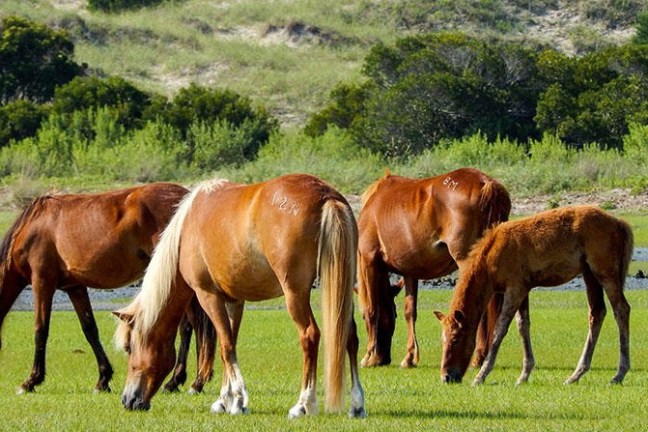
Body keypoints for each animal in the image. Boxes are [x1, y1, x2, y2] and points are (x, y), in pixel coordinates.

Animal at [0, 184, 215, 394]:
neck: (32, 227)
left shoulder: (42, 282)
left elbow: (41, 329)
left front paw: (31, 381)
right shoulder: (75, 287)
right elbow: (90, 329)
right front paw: (103, 379)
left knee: (190, 326)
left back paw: (191, 383)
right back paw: (180, 382)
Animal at [114, 173, 368, 418]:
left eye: (130, 348)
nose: (128, 400)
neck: (187, 229)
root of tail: (326, 195)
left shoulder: (208, 296)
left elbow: (226, 346)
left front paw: (237, 400)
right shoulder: (234, 301)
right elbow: (229, 344)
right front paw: (223, 400)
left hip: (295, 294)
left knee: (310, 335)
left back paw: (303, 404)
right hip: (342, 290)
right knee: (350, 336)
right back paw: (357, 405)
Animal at [354, 168, 512, 368]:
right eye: (393, 314)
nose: (384, 359)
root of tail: (485, 182)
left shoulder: (369, 261)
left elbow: (372, 308)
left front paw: (368, 356)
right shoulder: (410, 272)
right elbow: (410, 312)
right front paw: (409, 357)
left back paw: (479, 357)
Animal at [436, 205, 632, 384]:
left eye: (455, 339)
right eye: (442, 340)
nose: (447, 377)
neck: (492, 255)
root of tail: (620, 223)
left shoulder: (515, 288)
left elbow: (500, 329)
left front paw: (481, 375)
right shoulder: (524, 288)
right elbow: (523, 325)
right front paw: (524, 374)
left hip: (605, 272)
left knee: (621, 309)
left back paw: (619, 373)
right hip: (589, 273)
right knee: (597, 313)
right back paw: (576, 375)